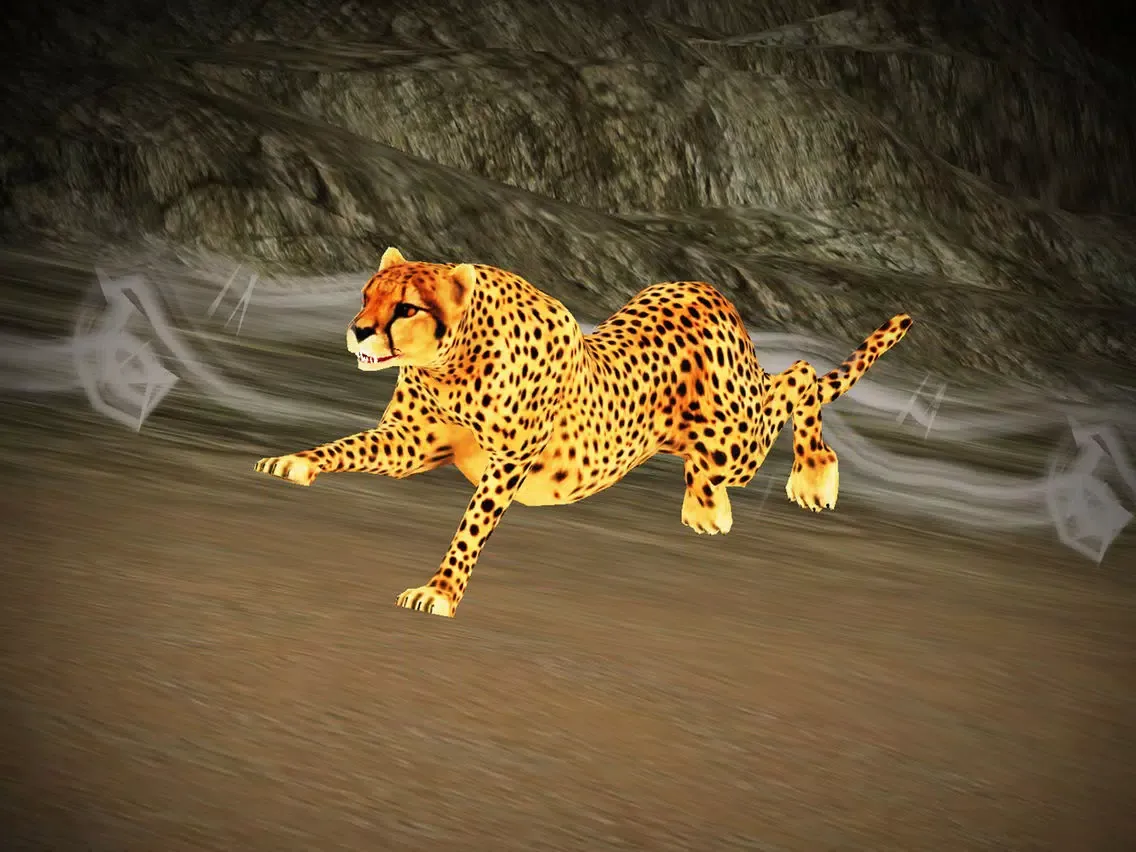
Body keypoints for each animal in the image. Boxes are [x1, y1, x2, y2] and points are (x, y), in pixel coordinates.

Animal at [255, 247, 913, 618]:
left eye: (407, 308)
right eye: (367, 294)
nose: (359, 330)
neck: (452, 362)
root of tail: (704, 287)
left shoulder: (507, 464)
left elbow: (470, 531)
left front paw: (438, 592)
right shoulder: (412, 442)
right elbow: (348, 447)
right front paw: (294, 462)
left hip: (734, 435)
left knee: (799, 376)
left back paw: (808, 477)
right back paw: (708, 502)